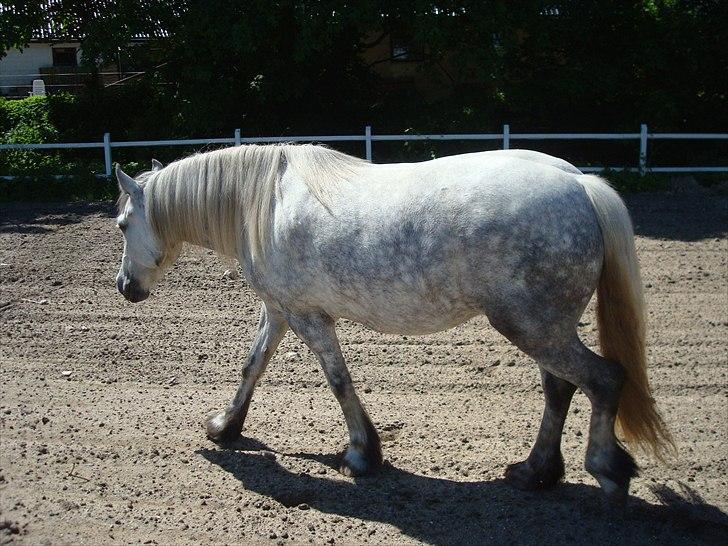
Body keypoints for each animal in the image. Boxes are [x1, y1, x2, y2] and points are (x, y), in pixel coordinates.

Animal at [114, 144, 673, 502]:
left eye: (121, 223)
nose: (124, 286)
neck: (266, 202)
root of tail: (578, 183)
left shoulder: (308, 317)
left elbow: (338, 380)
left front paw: (362, 454)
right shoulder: (279, 310)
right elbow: (252, 367)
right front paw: (225, 427)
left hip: (533, 328)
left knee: (604, 379)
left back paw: (605, 470)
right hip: (545, 329)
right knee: (561, 388)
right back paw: (535, 472)